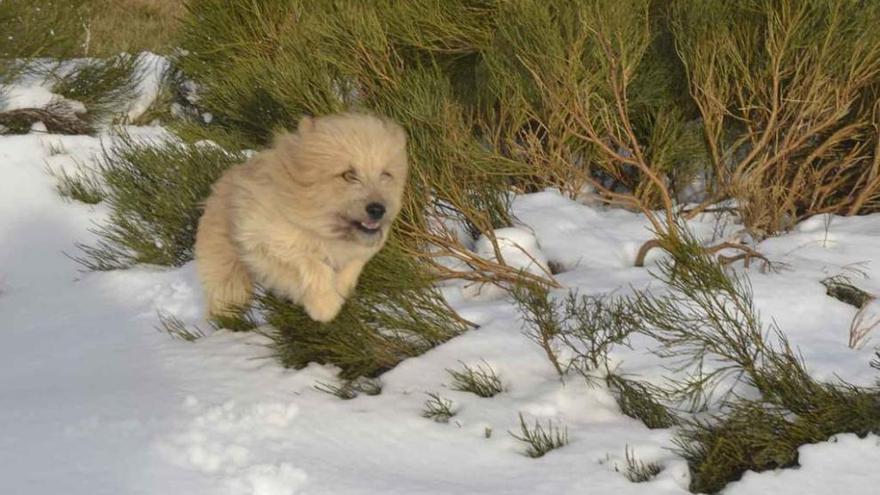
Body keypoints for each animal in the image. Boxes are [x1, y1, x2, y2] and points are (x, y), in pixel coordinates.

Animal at [194, 112, 408, 322]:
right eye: (348, 175)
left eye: (386, 174)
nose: (377, 209)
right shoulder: (262, 239)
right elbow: (310, 263)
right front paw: (325, 306)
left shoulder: (355, 253)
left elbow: (350, 268)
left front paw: (339, 291)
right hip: (227, 270)